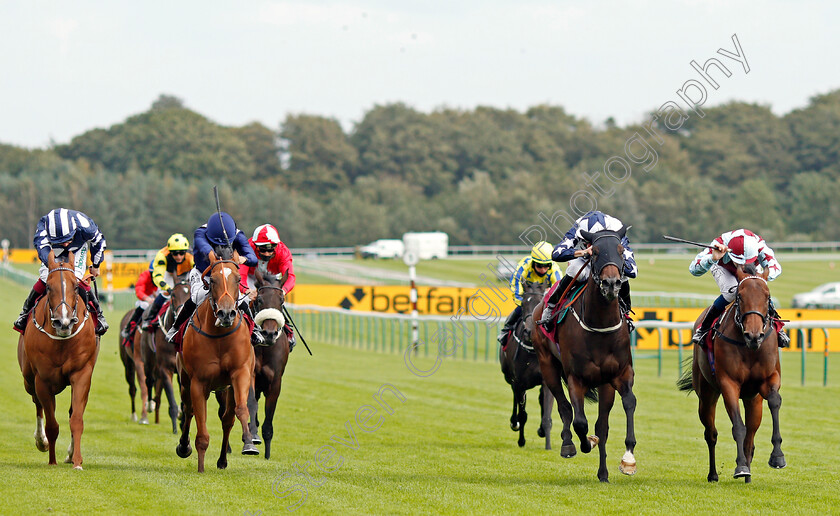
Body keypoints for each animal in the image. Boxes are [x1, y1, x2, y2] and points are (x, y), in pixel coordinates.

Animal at [16, 252, 98, 470]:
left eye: (76, 287)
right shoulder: (42, 380)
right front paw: (51, 459)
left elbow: (76, 418)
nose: (64, 322)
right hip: (29, 380)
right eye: (48, 288)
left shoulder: (82, 374)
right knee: (37, 404)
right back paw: (41, 441)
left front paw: (76, 460)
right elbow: (52, 424)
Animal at [176, 249, 258, 472]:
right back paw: (183, 446)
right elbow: (201, 429)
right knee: (188, 410)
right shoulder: (198, 382)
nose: (226, 313)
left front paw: (249, 442)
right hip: (185, 381)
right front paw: (200, 467)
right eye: (212, 280)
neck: (220, 337)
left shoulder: (240, 373)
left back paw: (222, 460)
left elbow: (240, 410)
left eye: (238, 279)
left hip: (227, 387)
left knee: (227, 418)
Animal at [502, 280, 556, 450]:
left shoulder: (546, 381)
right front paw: (521, 440)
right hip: (510, 377)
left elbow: (546, 415)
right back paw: (514, 423)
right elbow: (522, 414)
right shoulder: (519, 381)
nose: (528, 331)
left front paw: (547, 443)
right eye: (524, 303)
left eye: (540, 302)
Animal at [532, 228, 636, 482]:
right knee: (564, 408)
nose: (611, 283)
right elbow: (580, 422)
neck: (599, 325)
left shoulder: (620, 373)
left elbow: (629, 403)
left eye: (621, 250)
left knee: (602, 425)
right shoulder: (575, 378)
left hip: (605, 384)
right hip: (548, 366)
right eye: (595, 251)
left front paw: (628, 458)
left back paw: (603, 473)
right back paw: (568, 444)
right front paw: (585, 443)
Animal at [676, 262, 788, 484]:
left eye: (767, 296)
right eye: (740, 296)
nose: (754, 335)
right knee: (711, 434)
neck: (749, 347)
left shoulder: (769, 379)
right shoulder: (729, 384)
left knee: (751, 436)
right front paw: (741, 467)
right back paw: (714, 474)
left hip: (753, 399)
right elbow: (738, 426)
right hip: (707, 394)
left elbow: (774, 401)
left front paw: (777, 456)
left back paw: (749, 477)